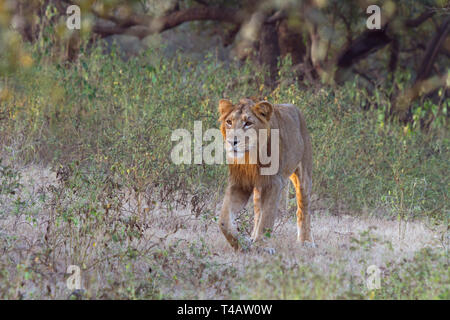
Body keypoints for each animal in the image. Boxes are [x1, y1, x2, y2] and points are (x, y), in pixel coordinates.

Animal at [218, 96, 312, 251]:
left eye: (248, 123)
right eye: (229, 122)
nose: (232, 142)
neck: (250, 157)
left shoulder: (274, 183)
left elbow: (267, 218)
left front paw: (262, 246)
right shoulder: (239, 184)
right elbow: (224, 220)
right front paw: (241, 244)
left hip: (303, 174)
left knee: (303, 209)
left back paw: (306, 241)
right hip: (258, 190)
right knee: (257, 213)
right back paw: (252, 238)